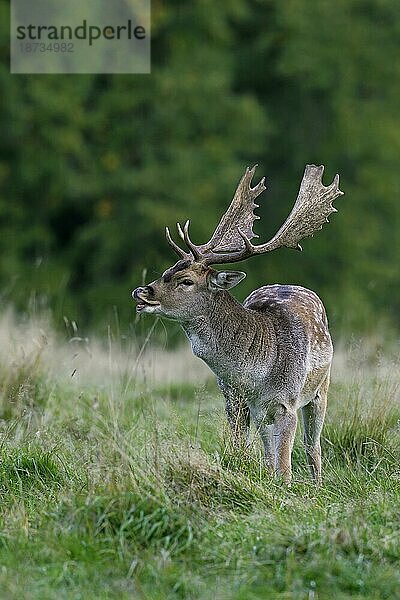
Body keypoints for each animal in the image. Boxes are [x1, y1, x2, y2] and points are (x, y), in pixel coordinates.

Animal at [133, 164, 342, 482]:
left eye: (186, 280)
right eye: (166, 271)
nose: (142, 292)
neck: (255, 374)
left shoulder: (287, 403)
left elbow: (285, 467)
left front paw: (287, 489)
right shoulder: (234, 400)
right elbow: (241, 451)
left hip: (321, 389)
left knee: (312, 445)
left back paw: (317, 484)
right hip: (263, 415)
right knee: (269, 450)